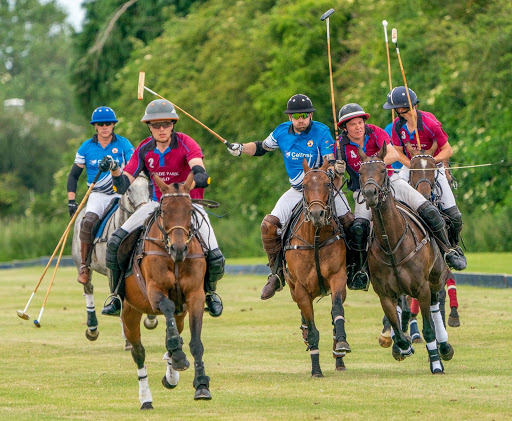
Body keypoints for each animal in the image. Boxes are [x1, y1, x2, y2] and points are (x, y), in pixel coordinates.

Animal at [72, 172, 156, 342]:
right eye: (129, 190)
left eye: (149, 187)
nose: (144, 211)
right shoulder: (113, 269)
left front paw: (151, 319)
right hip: (82, 263)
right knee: (88, 287)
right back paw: (92, 328)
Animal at [120, 171, 210, 406]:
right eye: (165, 212)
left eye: (189, 211)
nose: (179, 249)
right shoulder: (153, 291)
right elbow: (167, 305)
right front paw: (178, 356)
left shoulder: (195, 297)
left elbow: (196, 342)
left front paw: (202, 385)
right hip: (129, 311)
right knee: (138, 352)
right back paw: (145, 399)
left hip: (181, 313)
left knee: (174, 331)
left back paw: (171, 374)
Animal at [284, 159, 352, 376]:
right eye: (304, 186)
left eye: (328, 184)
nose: (316, 214)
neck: (315, 236)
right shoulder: (301, 289)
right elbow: (313, 328)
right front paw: (316, 370)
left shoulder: (337, 277)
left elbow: (337, 309)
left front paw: (341, 343)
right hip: (293, 288)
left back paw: (339, 358)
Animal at [358, 143, 454, 372]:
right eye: (360, 172)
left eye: (383, 170)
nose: (370, 193)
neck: (391, 244)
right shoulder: (385, 294)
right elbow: (399, 332)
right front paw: (402, 347)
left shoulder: (422, 288)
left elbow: (428, 328)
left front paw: (436, 363)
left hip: (435, 278)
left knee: (436, 303)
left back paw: (444, 347)